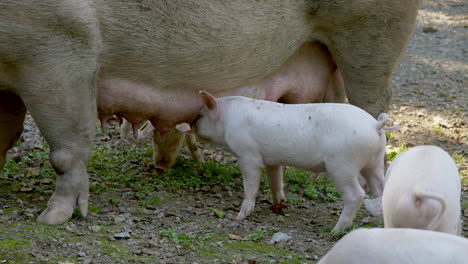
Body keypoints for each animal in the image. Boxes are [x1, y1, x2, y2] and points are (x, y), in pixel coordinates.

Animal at [188, 92, 396, 232]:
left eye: (200, 115)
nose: (190, 124)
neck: (227, 119)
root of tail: (375, 125)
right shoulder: (272, 160)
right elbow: (276, 181)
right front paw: (279, 204)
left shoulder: (248, 155)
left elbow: (250, 186)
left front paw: (239, 217)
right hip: (375, 162)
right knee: (381, 189)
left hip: (342, 165)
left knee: (356, 194)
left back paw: (335, 231)